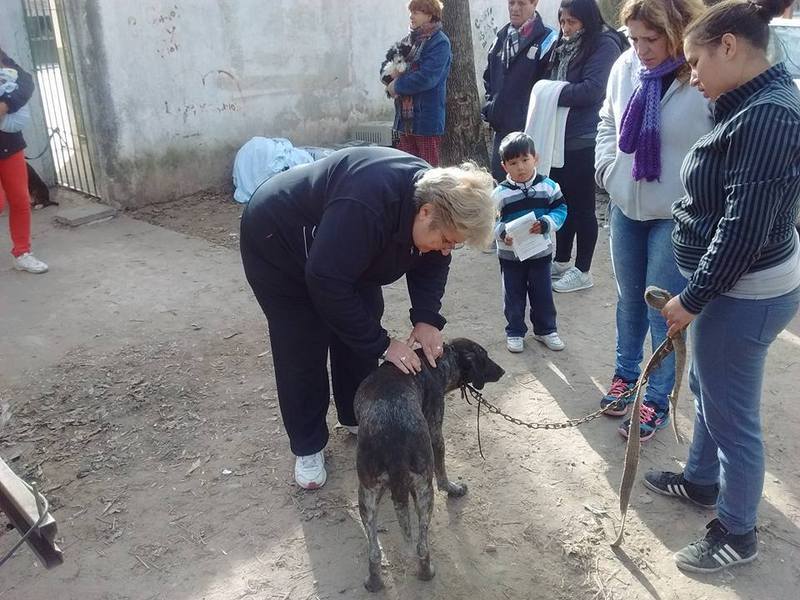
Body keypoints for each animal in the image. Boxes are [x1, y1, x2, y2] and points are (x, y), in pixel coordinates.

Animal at [354, 338, 504, 592]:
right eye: (485, 357)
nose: (502, 371)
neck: (439, 362)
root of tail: (393, 439)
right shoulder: (436, 433)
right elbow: (442, 471)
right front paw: (453, 488)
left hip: (366, 495)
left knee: (374, 552)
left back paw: (374, 582)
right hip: (425, 490)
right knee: (421, 546)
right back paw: (426, 572)